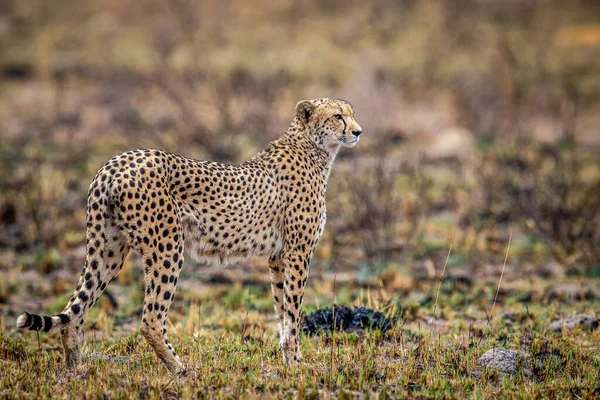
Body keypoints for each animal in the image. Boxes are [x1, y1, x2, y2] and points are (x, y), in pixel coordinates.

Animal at [16, 98, 364, 374]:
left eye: (351, 113)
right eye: (338, 116)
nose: (358, 131)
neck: (313, 148)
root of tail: (114, 163)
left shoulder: (278, 257)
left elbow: (282, 310)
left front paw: (290, 362)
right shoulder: (297, 253)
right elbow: (293, 312)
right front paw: (297, 366)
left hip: (108, 249)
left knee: (76, 310)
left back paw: (76, 370)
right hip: (168, 247)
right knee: (150, 319)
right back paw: (181, 369)